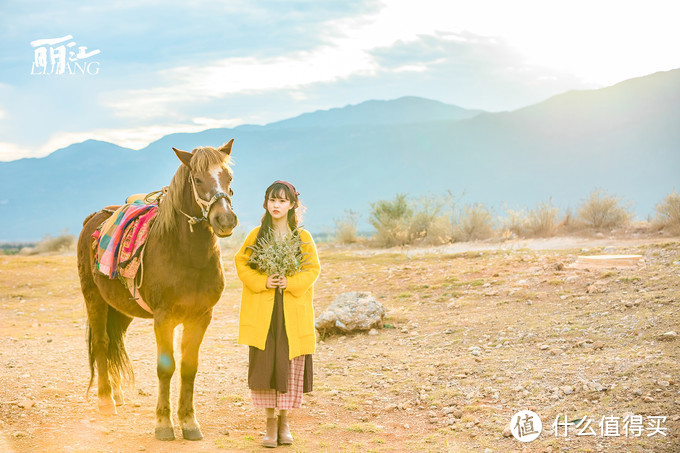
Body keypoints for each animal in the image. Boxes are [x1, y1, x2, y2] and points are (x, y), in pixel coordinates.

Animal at [75, 139, 236, 440]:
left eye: (229, 178)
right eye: (198, 179)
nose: (226, 220)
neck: (188, 256)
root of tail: (94, 217)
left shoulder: (201, 317)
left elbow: (189, 367)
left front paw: (189, 422)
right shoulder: (164, 318)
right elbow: (166, 367)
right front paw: (163, 424)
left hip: (120, 307)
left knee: (114, 342)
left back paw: (116, 393)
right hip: (94, 299)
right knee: (102, 343)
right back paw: (105, 399)